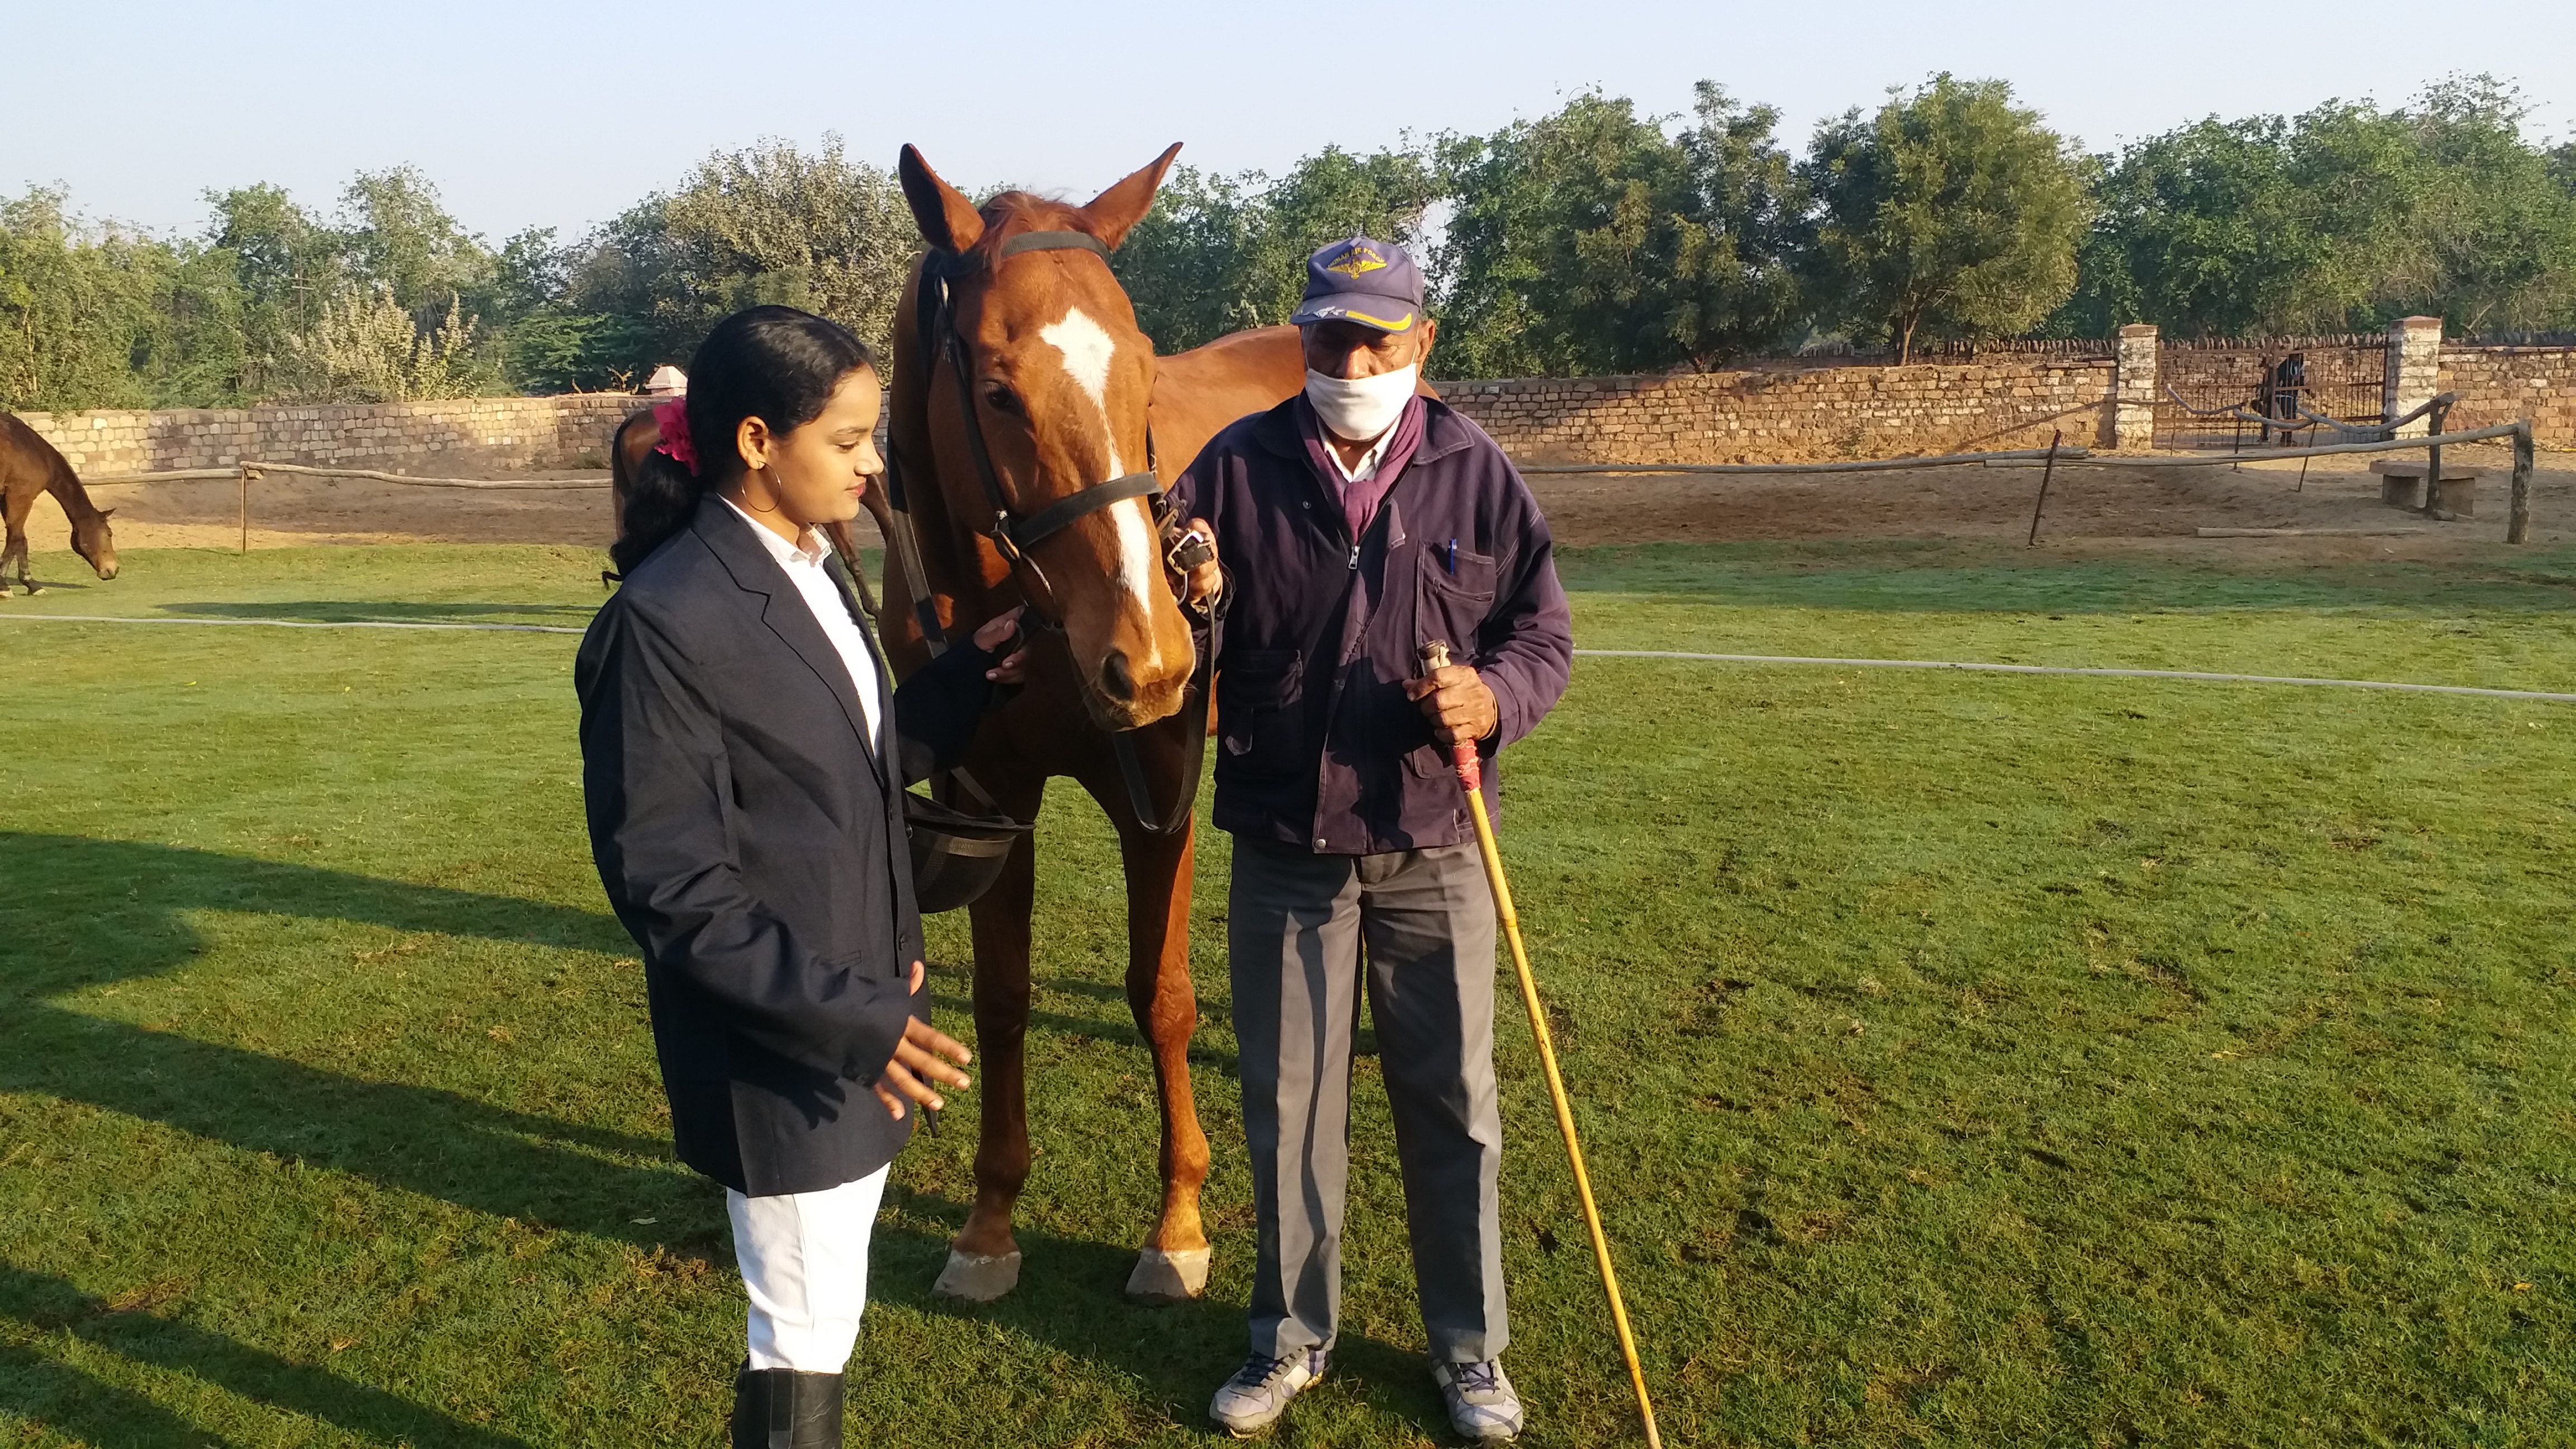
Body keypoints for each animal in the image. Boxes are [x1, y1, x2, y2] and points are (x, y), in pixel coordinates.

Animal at [1, 412, 120, 598]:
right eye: (109, 534)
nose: (113, 570)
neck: (33, 449)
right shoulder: (20, 496)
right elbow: (14, 539)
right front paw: (4, 587)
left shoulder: (5, 498)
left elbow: (21, 540)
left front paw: (32, 584)